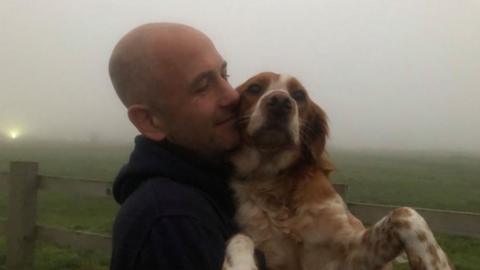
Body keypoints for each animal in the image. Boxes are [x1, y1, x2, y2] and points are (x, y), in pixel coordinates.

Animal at [223, 72, 452, 270]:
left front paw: (437, 264)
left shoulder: (347, 254)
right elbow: (240, 238)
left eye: (299, 95)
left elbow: (405, 214)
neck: (275, 183)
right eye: (254, 88)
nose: (280, 101)